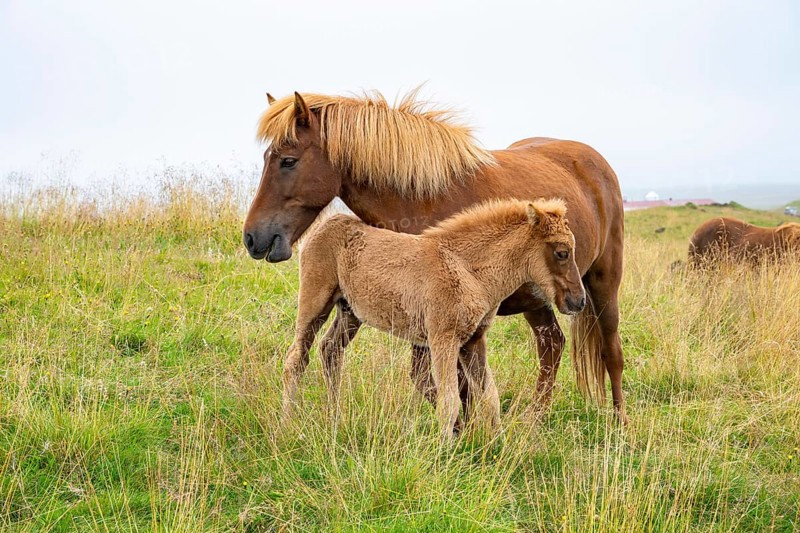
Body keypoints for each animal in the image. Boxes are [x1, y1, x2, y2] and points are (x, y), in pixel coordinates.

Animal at [283, 198, 585, 439]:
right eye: (562, 252)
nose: (579, 300)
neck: (467, 269)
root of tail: (325, 224)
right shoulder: (443, 339)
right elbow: (449, 402)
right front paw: (444, 454)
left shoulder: (473, 341)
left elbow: (490, 397)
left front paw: (498, 446)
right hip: (315, 301)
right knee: (296, 359)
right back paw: (290, 422)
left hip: (350, 312)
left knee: (330, 350)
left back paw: (334, 416)